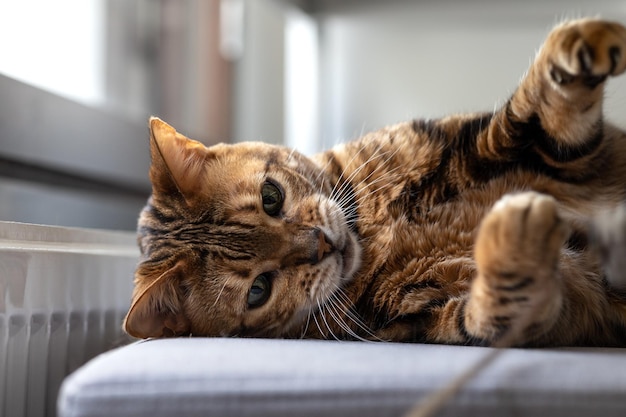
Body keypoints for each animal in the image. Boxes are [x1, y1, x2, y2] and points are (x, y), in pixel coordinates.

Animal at [123, 17, 626, 346]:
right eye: (258, 290)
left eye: (271, 196)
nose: (321, 244)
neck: (377, 229)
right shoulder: (433, 314)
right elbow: (497, 307)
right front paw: (517, 237)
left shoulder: (481, 143)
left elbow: (539, 106)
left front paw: (583, 42)